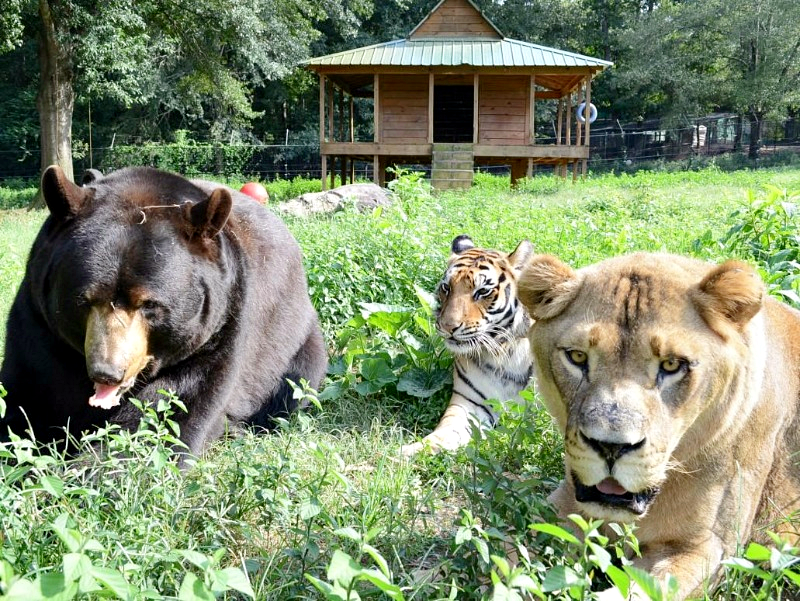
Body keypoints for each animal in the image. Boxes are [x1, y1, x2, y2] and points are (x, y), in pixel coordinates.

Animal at [0, 166, 328, 458]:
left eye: (149, 305)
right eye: (84, 300)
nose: (107, 372)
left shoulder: (221, 326)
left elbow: (169, 413)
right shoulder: (36, 324)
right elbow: (23, 396)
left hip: (295, 340)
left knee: (296, 384)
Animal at [401, 235, 535, 456]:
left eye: (483, 291)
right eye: (446, 288)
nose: (448, 327)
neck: (505, 353)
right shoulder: (471, 404)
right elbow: (445, 432)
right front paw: (407, 451)